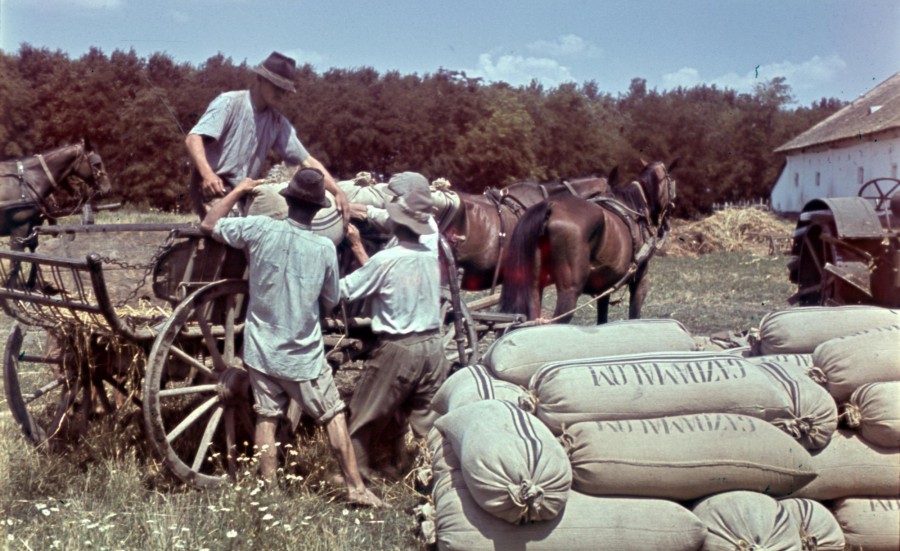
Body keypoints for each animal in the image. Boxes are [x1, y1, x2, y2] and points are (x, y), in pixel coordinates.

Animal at [500, 160, 676, 324]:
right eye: (670, 183)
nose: (666, 221)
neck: (636, 208)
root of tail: (550, 206)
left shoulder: (604, 288)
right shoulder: (640, 279)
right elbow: (634, 316)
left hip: (534, 287)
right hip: (569, 292)